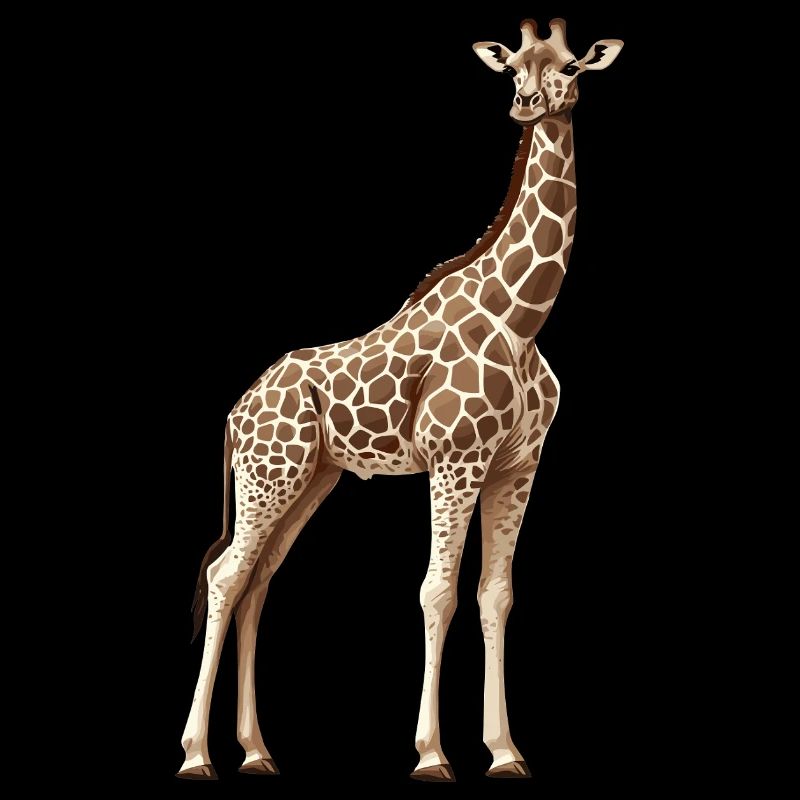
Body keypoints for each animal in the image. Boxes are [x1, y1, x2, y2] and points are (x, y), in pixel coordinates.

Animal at [178, 17, 623, 782]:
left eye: (570, 65)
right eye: (513, 68)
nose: (529, 103)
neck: (523, 317)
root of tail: (235, 416)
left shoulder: (517, 466)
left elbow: (496, 595)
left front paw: (505, 752)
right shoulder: (455, 460)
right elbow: (436, 591)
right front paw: (431, 754)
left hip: (312, 478)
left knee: (258, 579)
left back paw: (257, 751)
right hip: (271, 476)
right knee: (226, 574)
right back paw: (197, 755)